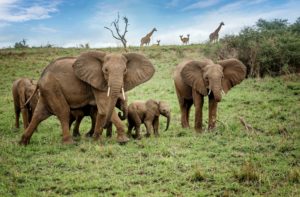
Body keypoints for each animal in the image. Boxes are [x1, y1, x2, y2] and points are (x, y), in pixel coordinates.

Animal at [19, 50, 155, 145]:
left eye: (125, 70)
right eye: (105, 70)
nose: (121, 113)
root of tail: (41, 77)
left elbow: (100, 111)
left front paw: (96, 140)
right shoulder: (97, 82)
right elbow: (104, 108)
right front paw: (123, 141)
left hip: (47, 91)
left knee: (39, 114)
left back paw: (23, 143)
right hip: (52, 87)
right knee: (63, 112)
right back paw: (69, 143)